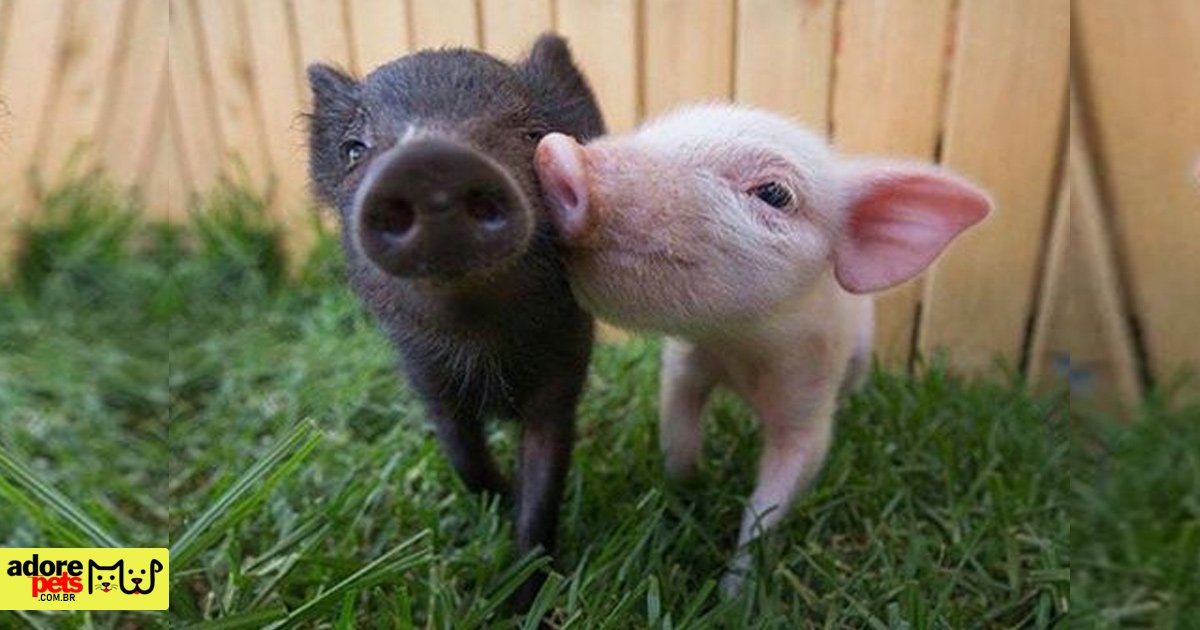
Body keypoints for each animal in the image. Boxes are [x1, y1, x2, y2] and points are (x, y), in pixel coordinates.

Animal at [306, 34, 604, 609]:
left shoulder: (563, 375)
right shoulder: (428, 381)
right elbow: (465, 459)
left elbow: (543, 486)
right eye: (354, 148)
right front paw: (501, 499)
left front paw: (522, 601)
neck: (482, 347)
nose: (428, 160)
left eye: (533, 134)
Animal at [534, 104, 991, 593]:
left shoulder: (808, 404)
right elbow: (678, 433)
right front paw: (687, 489)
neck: (744, 352)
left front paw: (733, 594)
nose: (559, 154)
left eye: (774, 193)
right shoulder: (686, 362)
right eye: (650, 131)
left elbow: (772, 500)